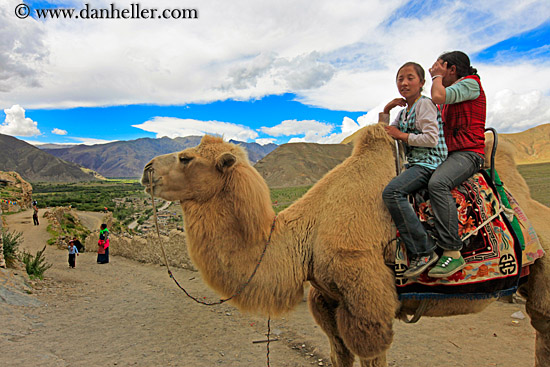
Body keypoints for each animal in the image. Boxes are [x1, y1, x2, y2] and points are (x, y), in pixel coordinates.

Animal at [142, 124, 550, 367]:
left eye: (186, 157)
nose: (146, 170)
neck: (307, 236)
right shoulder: (326, 299)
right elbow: (339, 353)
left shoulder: (368, 307)